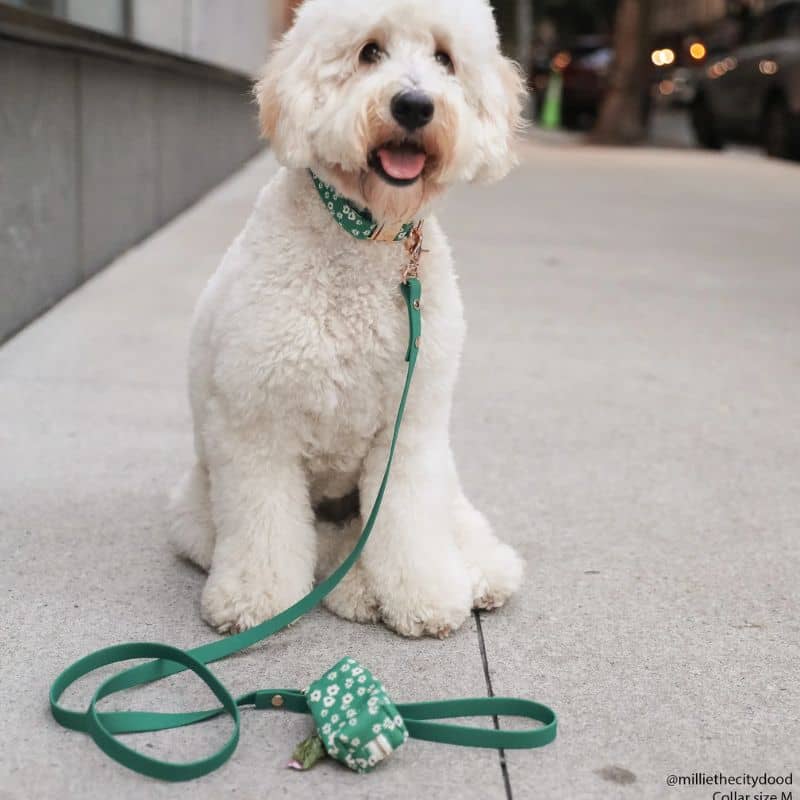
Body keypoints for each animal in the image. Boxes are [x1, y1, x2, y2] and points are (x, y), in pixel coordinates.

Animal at [170, 0, 524, 636]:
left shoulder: (411, 427)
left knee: (447, 520)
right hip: (197, 509)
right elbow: (264, 527)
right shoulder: (256, 425)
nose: (414, 105)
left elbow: (410, 521)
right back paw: (355, 589)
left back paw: (479, 572)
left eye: (444, 58)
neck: (364, 236)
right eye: (369, 52)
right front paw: (256, 599)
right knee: (320, 545)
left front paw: (426, 594)